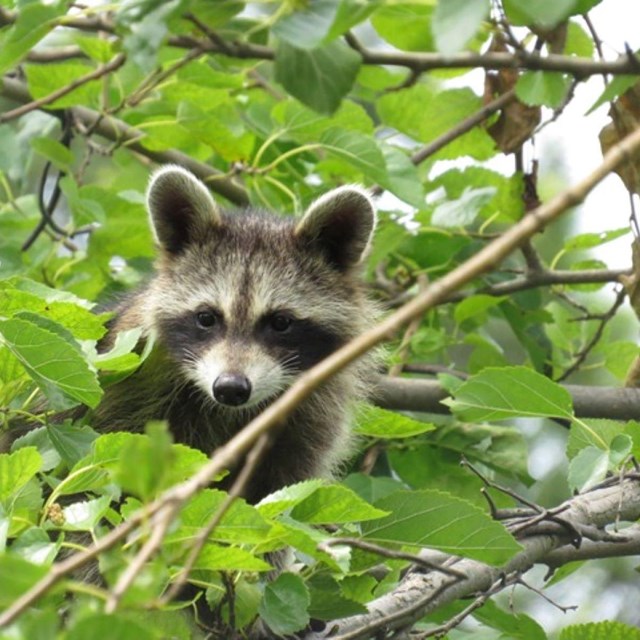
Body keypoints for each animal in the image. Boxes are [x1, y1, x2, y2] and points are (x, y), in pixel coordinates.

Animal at [91, 166, 380, 500]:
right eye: (206, 318)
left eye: (280, 322)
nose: (230, 388)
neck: (230, 412)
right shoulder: (129, 383)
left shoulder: (310, 424)